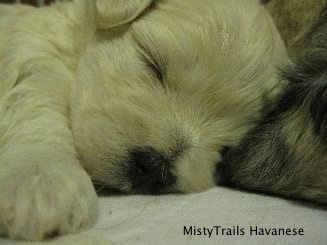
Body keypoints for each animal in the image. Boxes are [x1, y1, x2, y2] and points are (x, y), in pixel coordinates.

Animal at [0, 0, 288, 241]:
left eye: (226, 148)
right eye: (153, 63)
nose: (154, 168)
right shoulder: (33, 48)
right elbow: (39, 100)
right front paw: (42, 179)